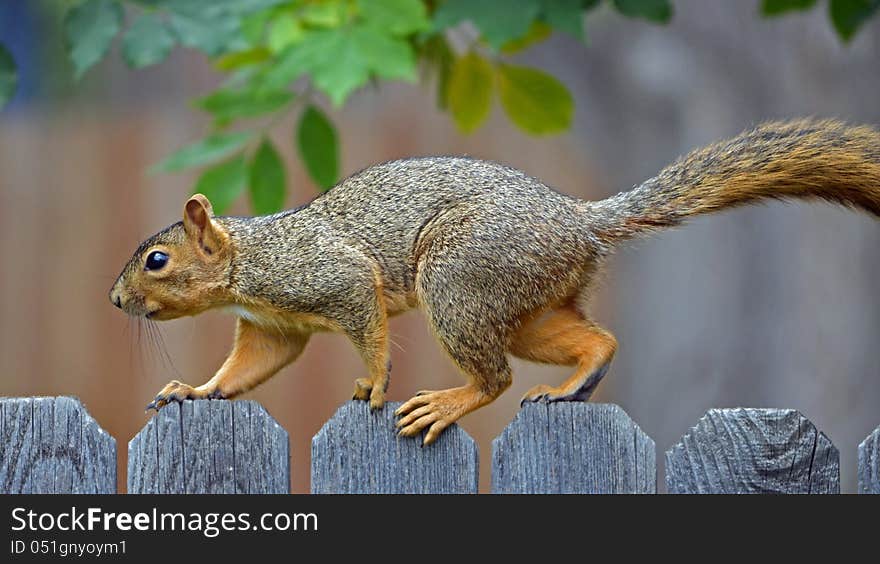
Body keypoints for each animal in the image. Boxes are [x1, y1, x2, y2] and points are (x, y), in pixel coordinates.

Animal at [110, 120, 880, 446]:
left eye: (157, 261)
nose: (115, 300)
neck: (250, 260)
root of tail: (576, 220)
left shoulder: (331, 279)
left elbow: (369, 330)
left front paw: (377, 385)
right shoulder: (274, 328)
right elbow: (243, 371)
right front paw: (191, 391)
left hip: (460, 280)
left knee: (495, 379)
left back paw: (445, 403)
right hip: (526, 303)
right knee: (592, 341)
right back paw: (574, 385)